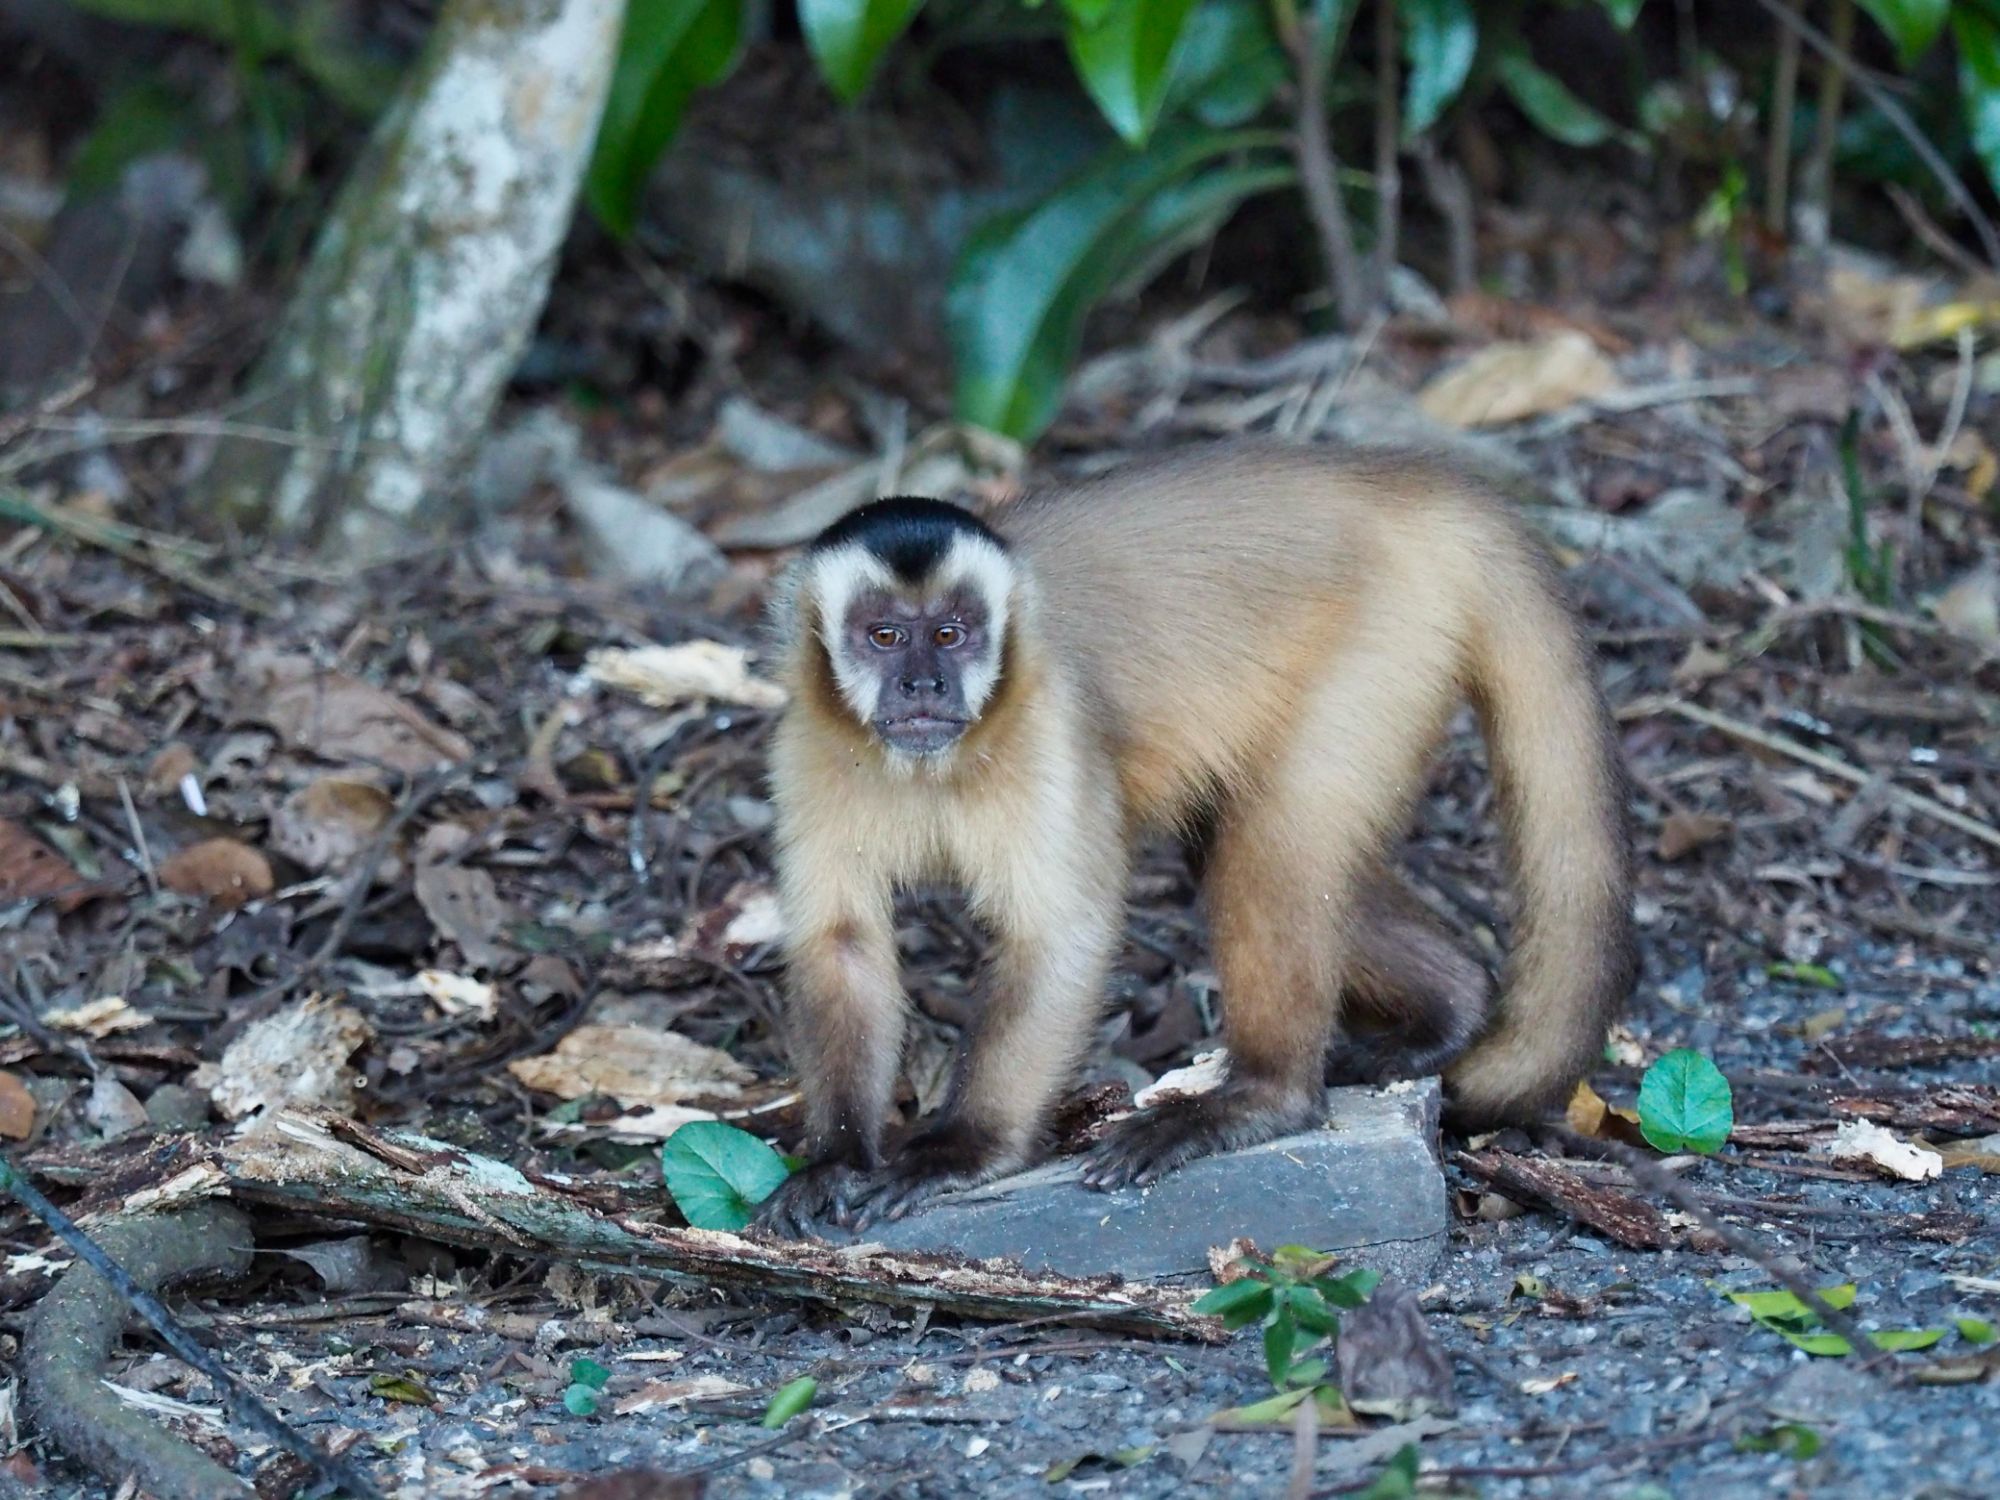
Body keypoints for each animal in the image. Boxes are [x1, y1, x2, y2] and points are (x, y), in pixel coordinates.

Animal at [750, 440, 1635, 1238]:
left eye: (953, 633)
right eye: (885, 637)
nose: (924, 685)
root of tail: (1405, 484)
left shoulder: (1050, 724)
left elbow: (1061, 937)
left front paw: (962, 1148)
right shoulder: (807, 745)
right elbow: (842, 943)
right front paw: (835, 1160)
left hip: (1389, 640)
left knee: (1271, 845)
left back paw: (1265, 1099)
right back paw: (1455, 1005)